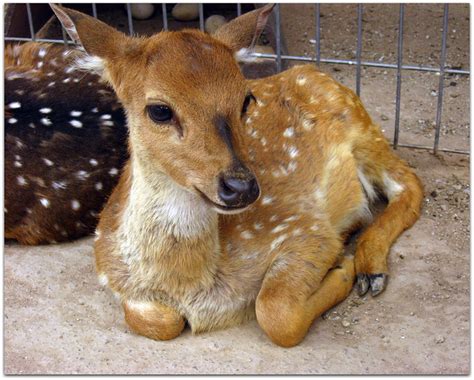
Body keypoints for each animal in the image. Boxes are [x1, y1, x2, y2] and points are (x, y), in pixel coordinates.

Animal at [51, 3, 422, 348]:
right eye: (159, 110)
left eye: (246, 100)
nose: (240, 186)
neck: (189, 284)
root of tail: (311, 69)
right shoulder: (111, 272)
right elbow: (156, 321)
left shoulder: (305, 229)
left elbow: (275, 313)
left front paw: (343, 268)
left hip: (362, 128)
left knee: (410, 183)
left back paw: (370, 268)